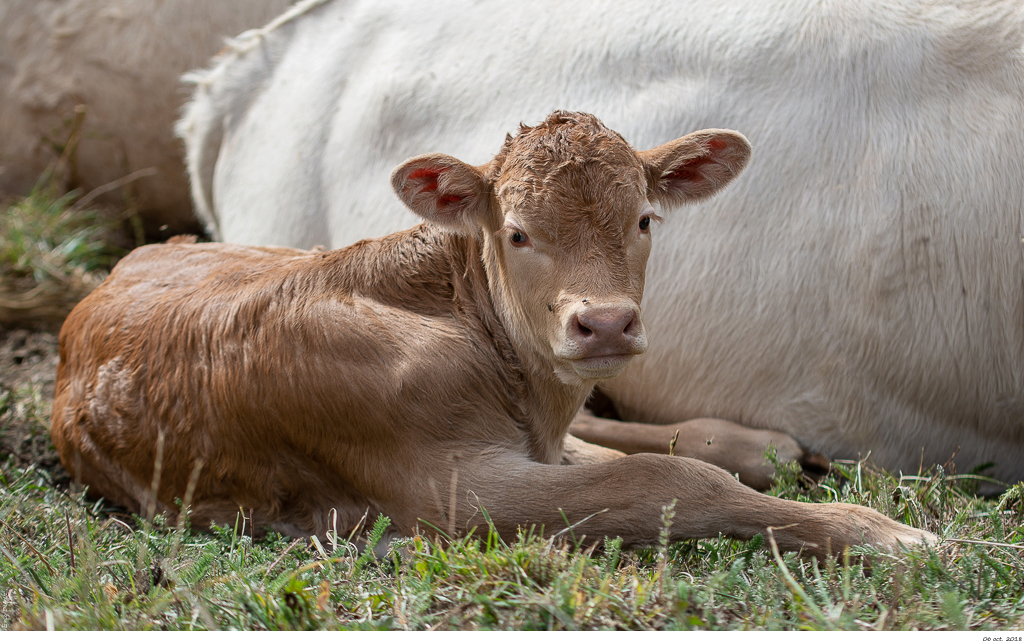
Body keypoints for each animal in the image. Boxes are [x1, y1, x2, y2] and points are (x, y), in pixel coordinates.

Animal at [49, 113, 937, 556]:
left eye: (644, 220)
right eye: (517, 232)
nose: (605, 321)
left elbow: (641, 460)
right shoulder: (446, 489)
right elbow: (663, 482)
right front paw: (889, 534)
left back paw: (759, 442)